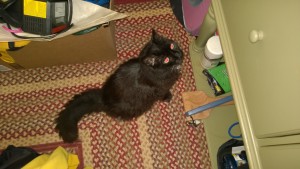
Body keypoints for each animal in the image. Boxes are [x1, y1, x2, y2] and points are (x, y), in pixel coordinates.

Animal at [55, 29, 184, 143]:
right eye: (166, 60)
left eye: (172, 46)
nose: (178, 55)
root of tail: (103, 98)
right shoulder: (160, 89)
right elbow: (163, 93)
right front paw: (168, 97)